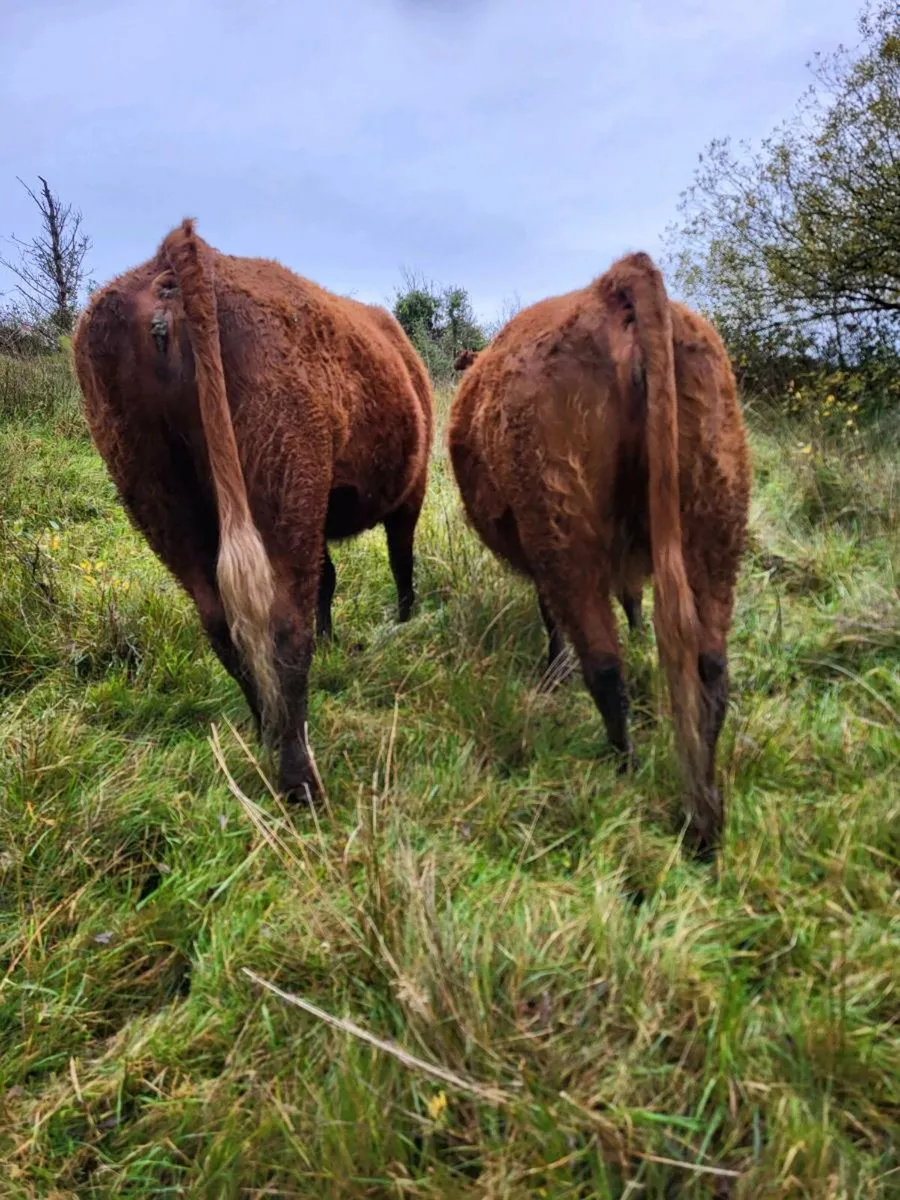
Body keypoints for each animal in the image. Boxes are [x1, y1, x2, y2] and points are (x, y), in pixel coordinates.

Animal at [73, 219, 433, 803]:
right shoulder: (409, 492)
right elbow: (398, 563)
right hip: (282, 484)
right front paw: (404, 620)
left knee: (223, 624)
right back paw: (300, 778)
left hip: (155, 492)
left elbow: (328, 580)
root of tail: (179, 257)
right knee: (285, 624)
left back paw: (266, 733)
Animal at [447, 252, 750, 856]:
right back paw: (706, 812)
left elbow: (554, 619)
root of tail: (614, 285)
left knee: (605, 667)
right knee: (710, 667)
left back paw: (623, 770)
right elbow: (632, 599)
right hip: (715, 518)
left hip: (562, 525)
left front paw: (553, 670)